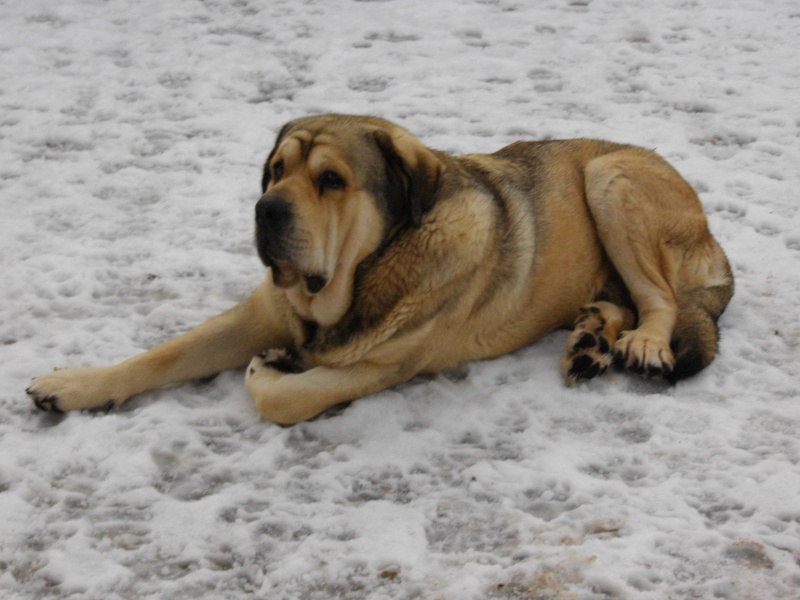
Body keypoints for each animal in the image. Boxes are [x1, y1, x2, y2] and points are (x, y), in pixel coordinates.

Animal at [28, 112, 736, 422]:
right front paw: (76, 383)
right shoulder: (262, 310)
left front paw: (270, 368)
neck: (365, 274)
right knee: (624, 299)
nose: (265, 209)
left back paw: (641, 341)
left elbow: (285, 397)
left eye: (331, 180)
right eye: (276, 170)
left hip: (610, 179)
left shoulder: (387, 364)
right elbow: (166, 353)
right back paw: (591, 339)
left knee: (661, 299)